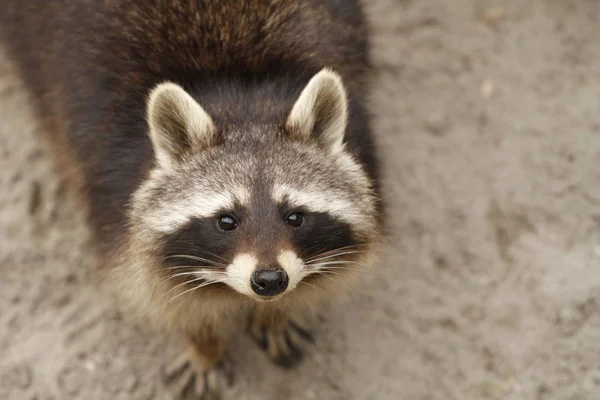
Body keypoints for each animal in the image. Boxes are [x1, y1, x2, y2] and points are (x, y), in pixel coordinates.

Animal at [0, 0, 384, 396]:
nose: (269, 281)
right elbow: (159, 289)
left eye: (294, 216)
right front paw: (203, 344)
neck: (242, 97)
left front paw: (278, 312)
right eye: (227, 221)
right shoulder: (112, 195)